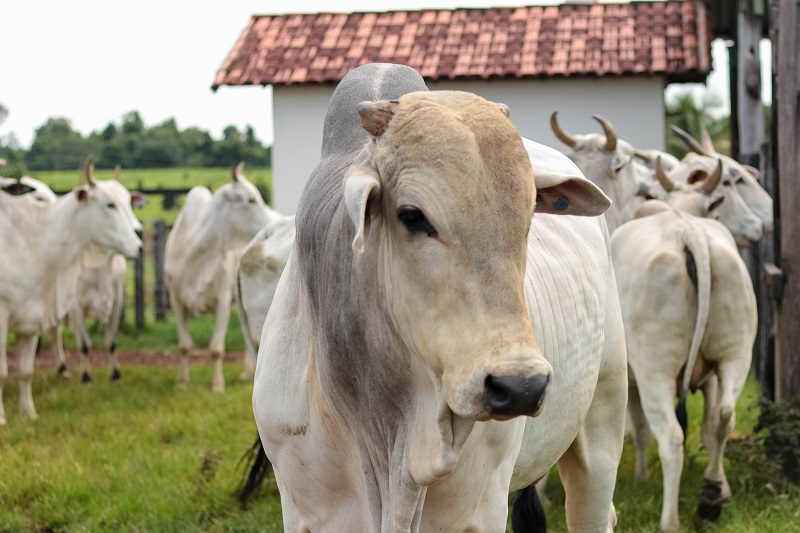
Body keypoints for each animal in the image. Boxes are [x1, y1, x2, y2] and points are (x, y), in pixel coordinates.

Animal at [0, 161, 142, 424]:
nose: (139, 243)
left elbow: (25, 371)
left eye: (129, 201)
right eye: (109, 204)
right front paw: (3, 420)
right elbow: (3, 372)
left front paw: (29, 414)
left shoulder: (31, 317)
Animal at [164, 162, 280, 390]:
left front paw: (217, 385)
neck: (194, 251)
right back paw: (247, 372)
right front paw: (182, 382)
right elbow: (184, 346)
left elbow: (216, 349)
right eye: (250, 199)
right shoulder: (176, 300)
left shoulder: (223, 300)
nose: (272, 221)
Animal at [250, 63, 624, 532]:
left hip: (603, 419)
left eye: (528, 217)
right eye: (412, 216)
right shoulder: (303, 510)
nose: (520, 385)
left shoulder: (482, 510)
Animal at [608, 159, 760, 532]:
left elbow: (642, 430)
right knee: (724, 418)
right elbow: (708, 427)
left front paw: (641, 478)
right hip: (736, 355)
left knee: (671, 437)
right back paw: (710, 499)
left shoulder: (633, 380)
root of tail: (686, 232)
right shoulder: (711, 376)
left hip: (655, 372)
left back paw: (670, 520)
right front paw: (721, 489)